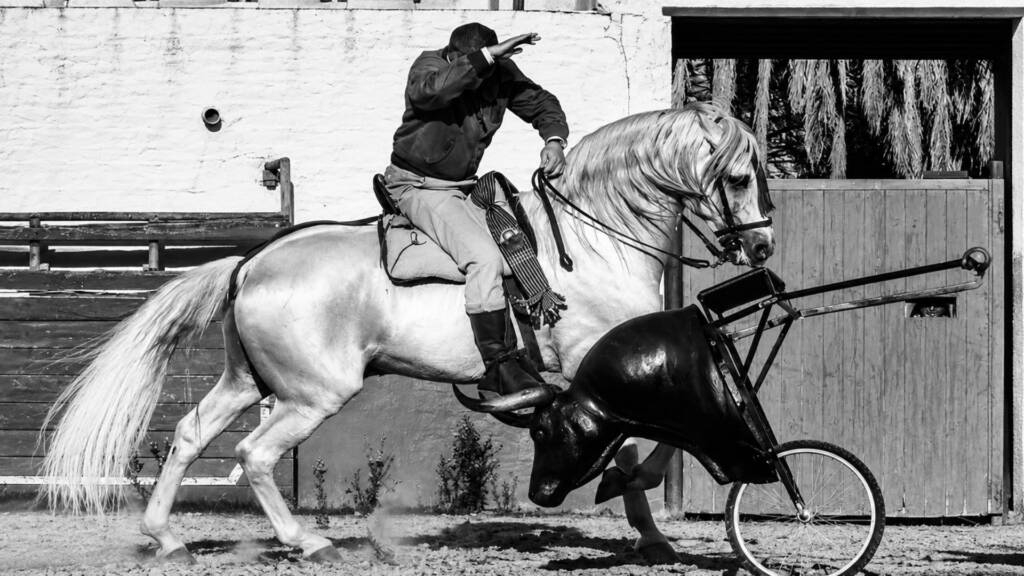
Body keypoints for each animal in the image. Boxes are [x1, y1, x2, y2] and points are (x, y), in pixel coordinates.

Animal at [39, 102, 775, 564]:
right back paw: (310, 543)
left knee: (192, 435)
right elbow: (649, 444)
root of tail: (251, 265)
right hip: (312, 395)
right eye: (739, 176)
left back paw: (166, 539)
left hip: (248, 381)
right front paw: (645, 518)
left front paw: (647, 527)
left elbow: (648, 441)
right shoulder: (595, 374)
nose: (762, 246)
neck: (591, 239)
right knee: (255, 455)